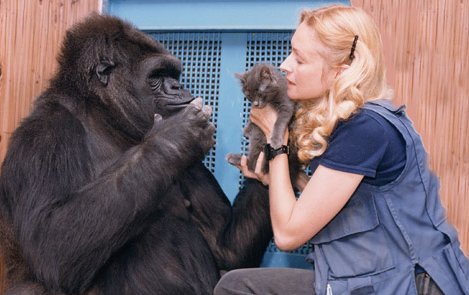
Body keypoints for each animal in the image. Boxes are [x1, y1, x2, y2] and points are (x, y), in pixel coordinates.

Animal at [0, 12, 270, 294]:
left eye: (172, 74)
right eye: (157, 76)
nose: (178, 86)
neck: (105, 115)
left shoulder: (193, 164)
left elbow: (225, 248)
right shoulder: (44, 134)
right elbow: (52, 240)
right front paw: (174, 138)